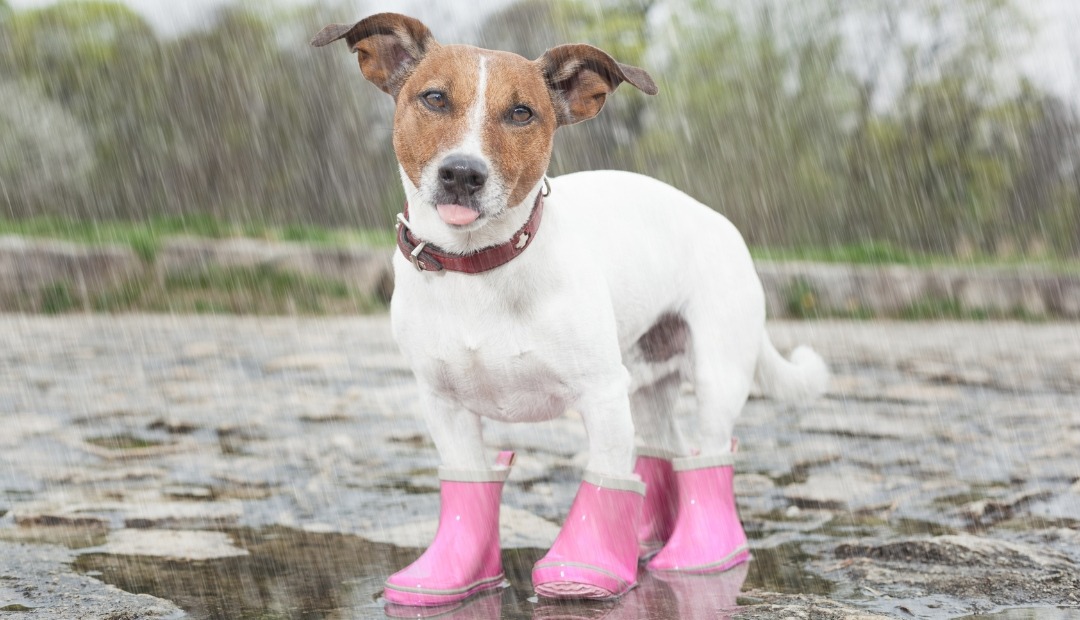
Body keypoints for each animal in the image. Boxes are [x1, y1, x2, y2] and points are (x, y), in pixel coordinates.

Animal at [311, 13, 825, 609]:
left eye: (521, 113)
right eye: (434, 98)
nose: (462, 173)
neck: (479, 267)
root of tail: (721, 222)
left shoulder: (601, 396)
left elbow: (605, 481)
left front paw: (588, 567)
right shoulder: (444, 406)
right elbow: (468, 487)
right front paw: (453, 577)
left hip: (716, 374)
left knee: (709, 456)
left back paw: (701, 552)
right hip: (647, 385)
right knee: (662, 450)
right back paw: (646, 535)